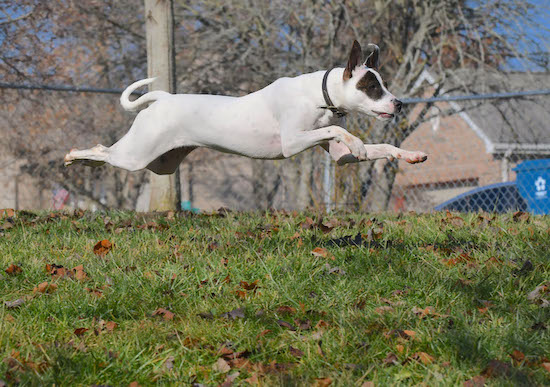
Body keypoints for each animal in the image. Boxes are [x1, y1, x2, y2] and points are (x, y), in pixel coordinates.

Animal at [64, 41, 426, 175]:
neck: (318, 95)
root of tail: (164, 97)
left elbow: (382, 147)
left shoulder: (337, 156)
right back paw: (74, 156)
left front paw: (409, 154)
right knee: (102, 150)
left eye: (383, 84)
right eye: (372, 87)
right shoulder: (292, 141)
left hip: (160, 163)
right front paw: (357, 141)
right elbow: (337, 128)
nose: (398, 103)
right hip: (136, 155)